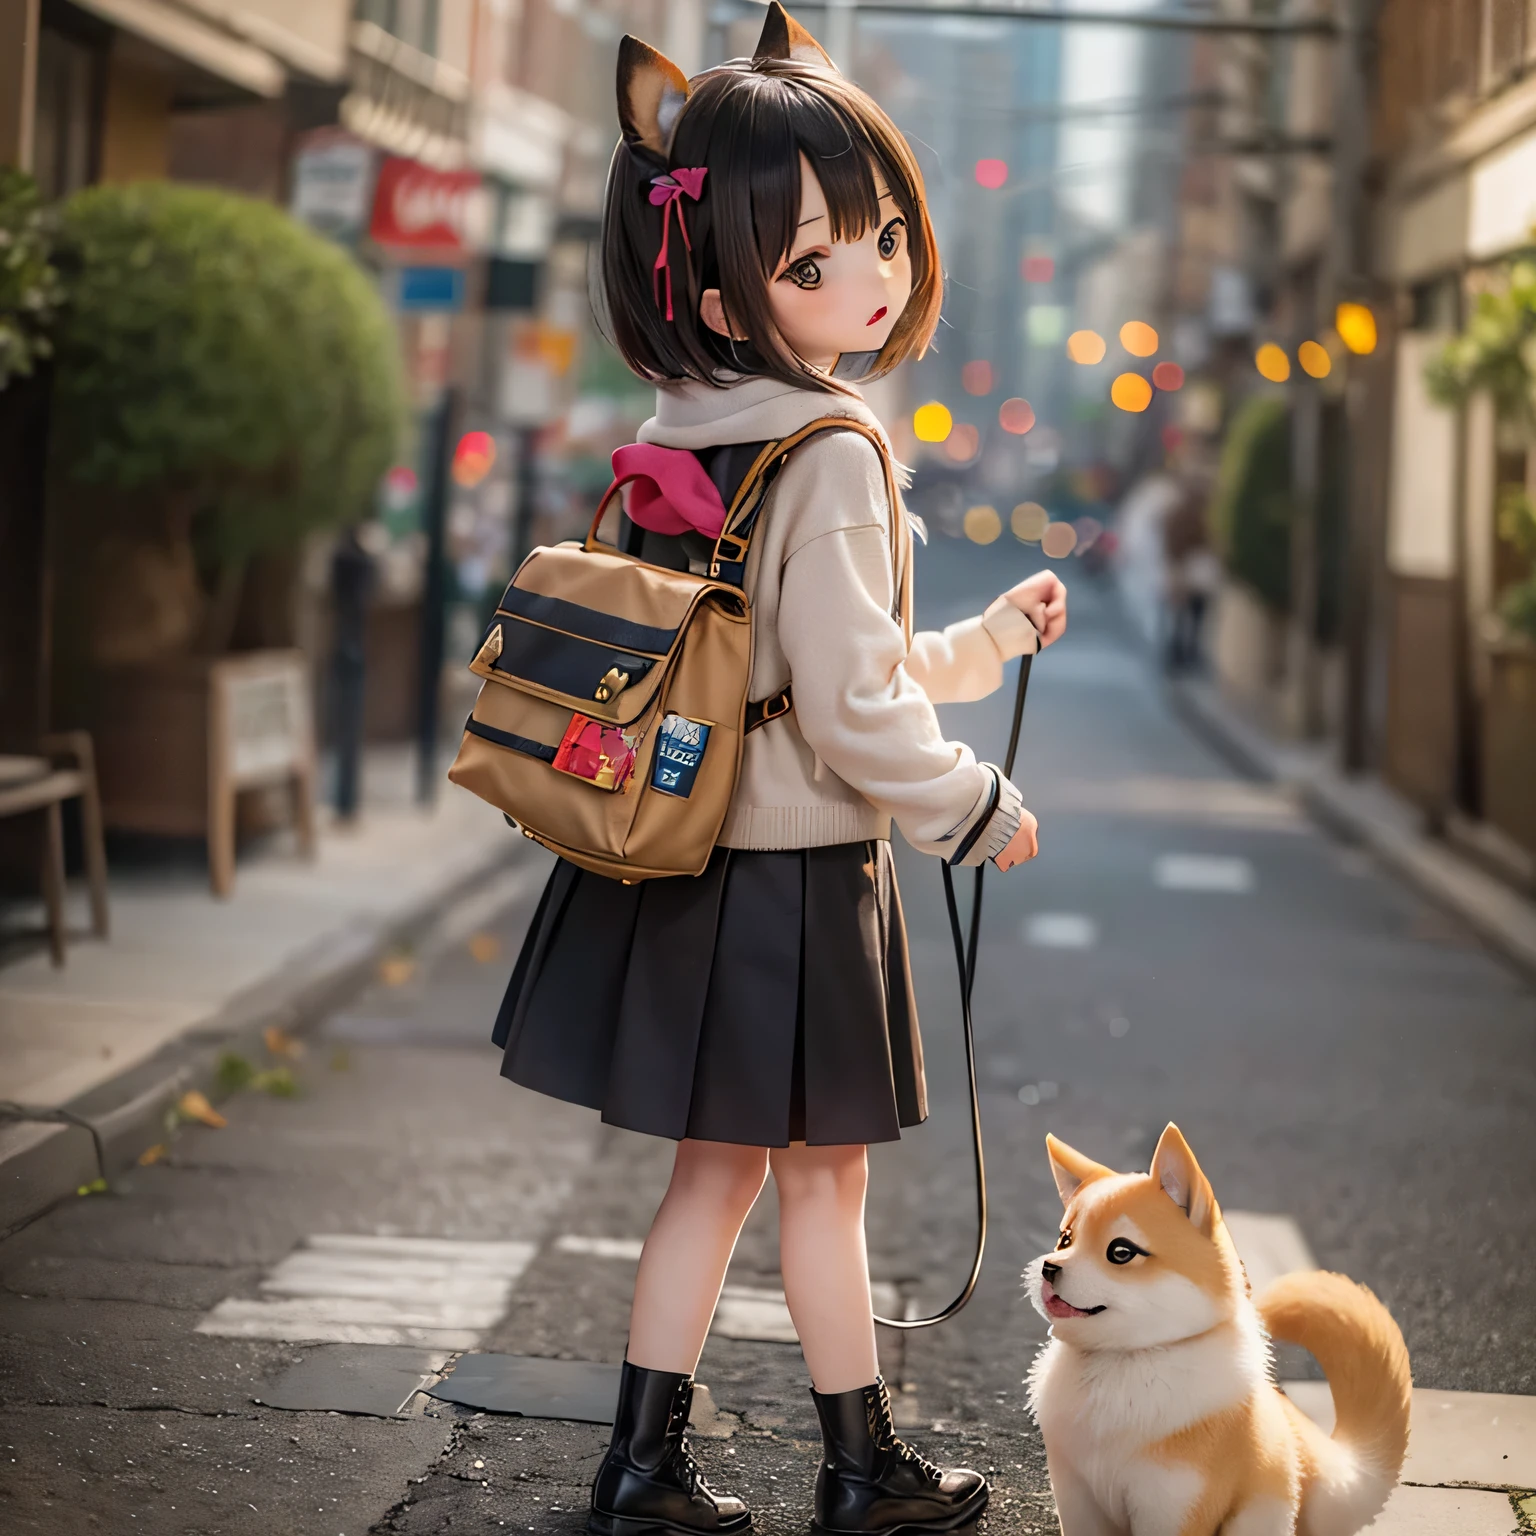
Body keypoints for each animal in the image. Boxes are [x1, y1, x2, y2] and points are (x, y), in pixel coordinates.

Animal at [1026, 1124, 1406, 1529]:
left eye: (1121, 1252)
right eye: (1065, 1239)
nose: (1049, 1267)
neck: (1123, 1364)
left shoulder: (1175, 1503)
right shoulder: (1075, 1494)